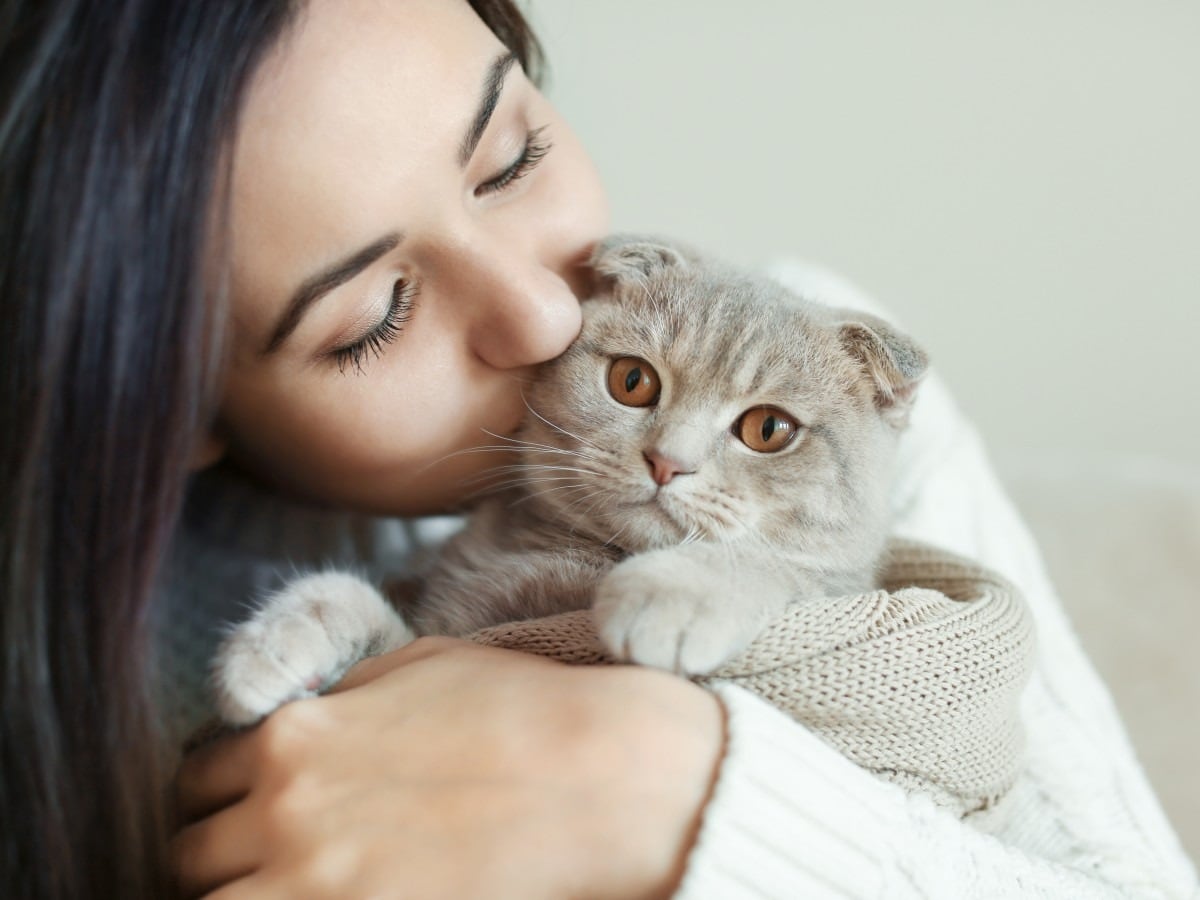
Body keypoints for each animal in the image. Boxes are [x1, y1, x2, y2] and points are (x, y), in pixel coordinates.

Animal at [216, 232, 926, 724]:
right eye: (633, 381)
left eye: (769, 430)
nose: (667, 460)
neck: (571, 559)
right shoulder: (433, 634)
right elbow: (340, 595)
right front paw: (273, 646)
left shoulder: (834, 588)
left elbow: (770, 566)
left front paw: (672, 594)